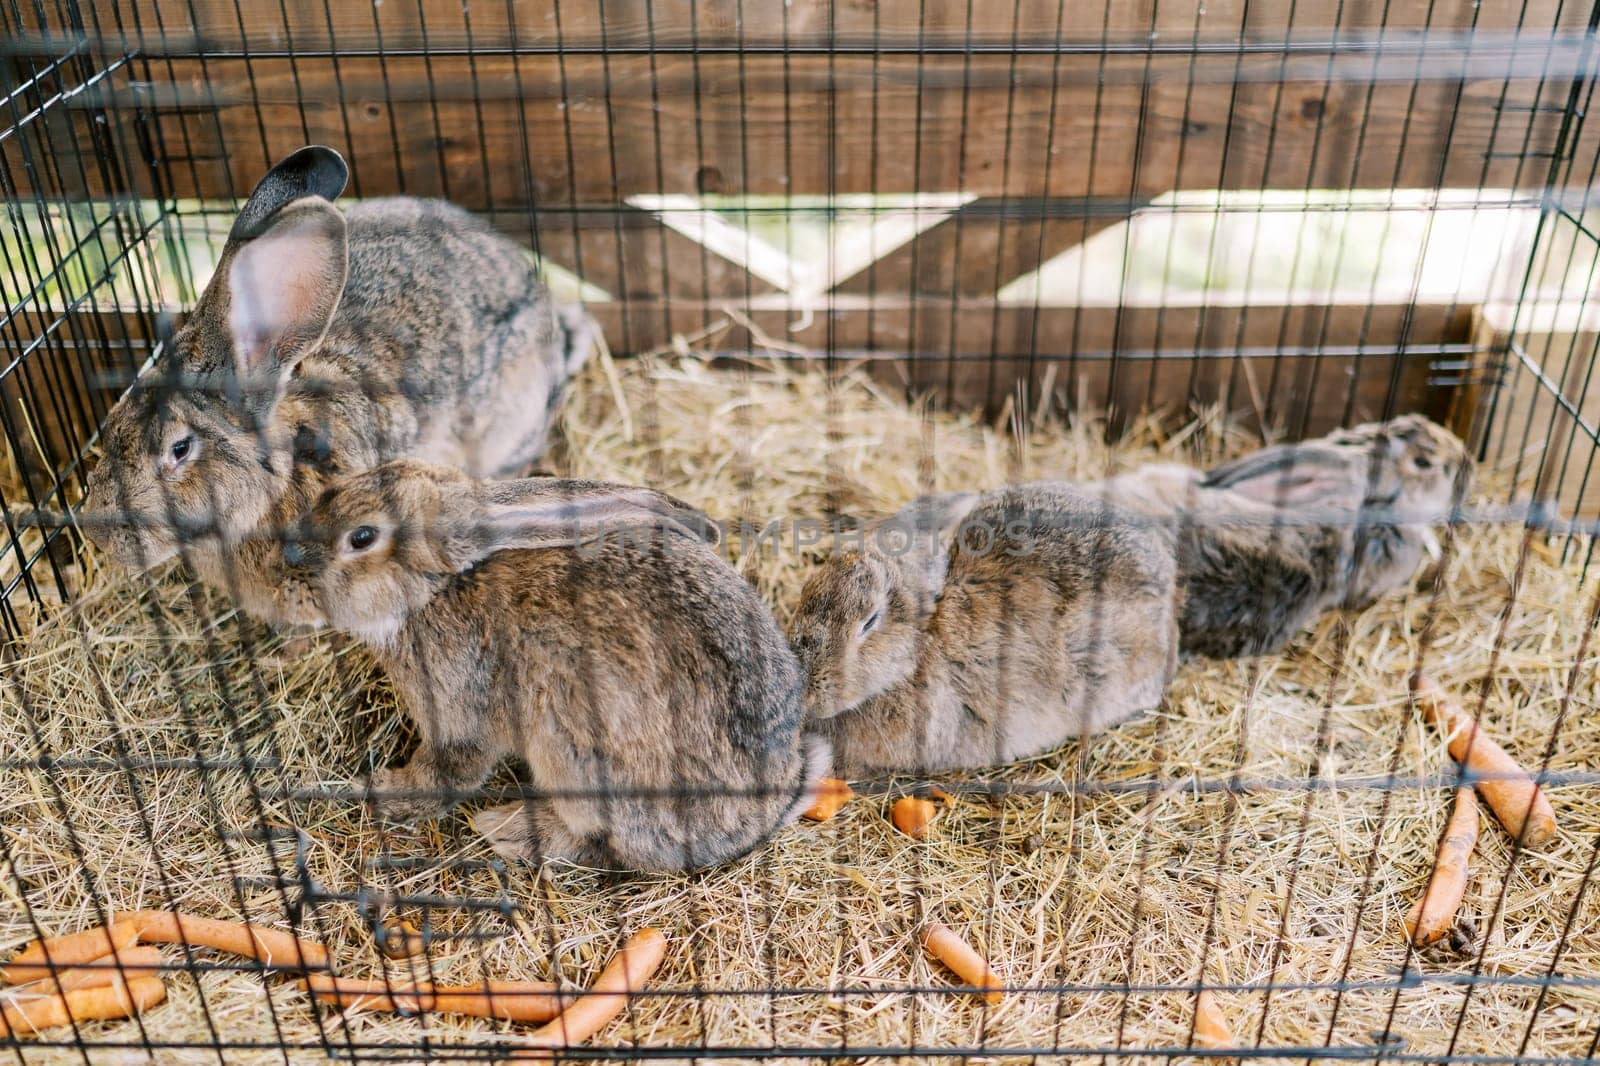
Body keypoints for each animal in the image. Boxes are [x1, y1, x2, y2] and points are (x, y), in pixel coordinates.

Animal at [281, 457, 825, 870]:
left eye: (361, 537)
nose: (288, 558)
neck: (439, 588)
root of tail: (762, 813)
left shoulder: (458, 709)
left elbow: (448, 772)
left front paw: (378, 790)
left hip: (579, 762)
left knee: (607, 848)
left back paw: (509, 829)